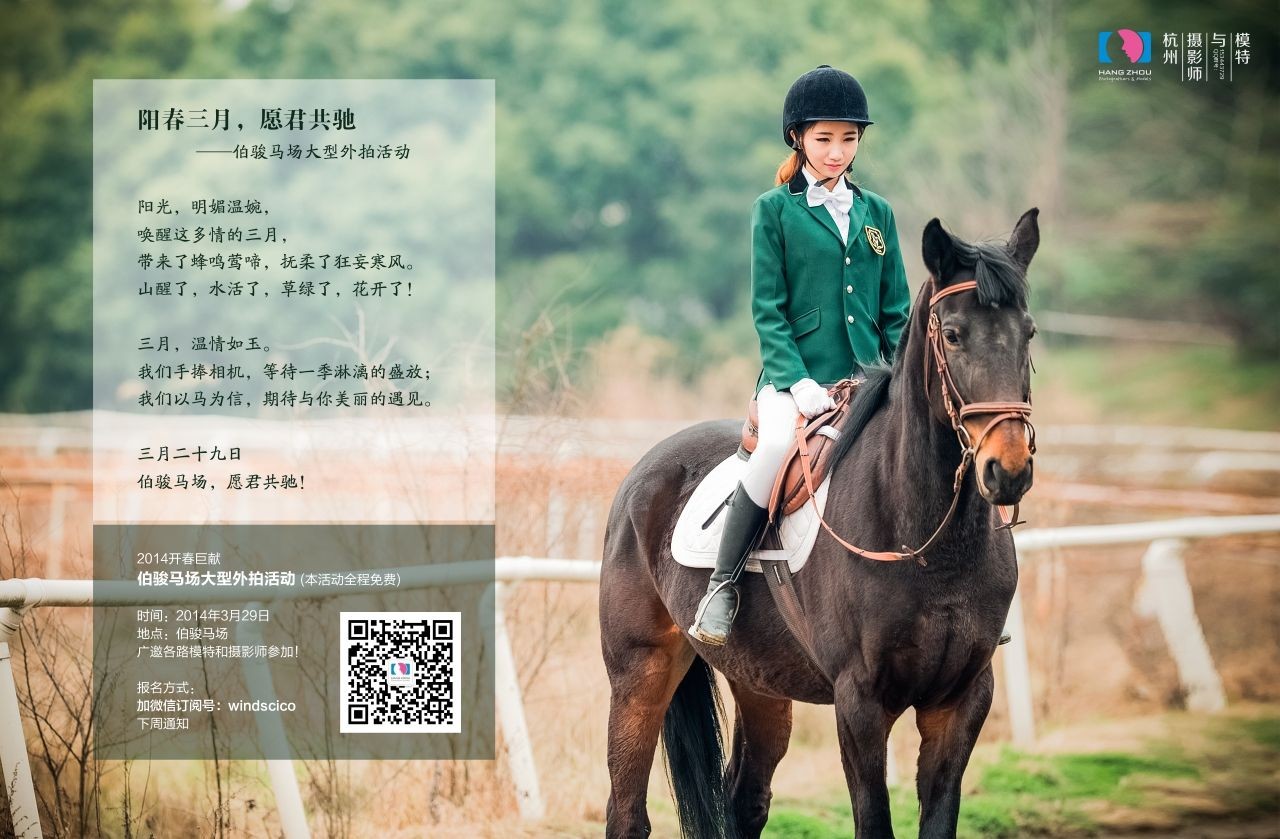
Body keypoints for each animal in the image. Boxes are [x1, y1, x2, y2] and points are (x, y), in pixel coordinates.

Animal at [598, 208, 1040, 839]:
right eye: (953, 334)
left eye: (1028, 333)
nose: (1008, 469)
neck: (927, 540)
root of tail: (644, 468)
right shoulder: (860, 703)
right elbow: (873, 820)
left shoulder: (961, 699)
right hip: (640, 672)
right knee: (626, 810)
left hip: (759, 684)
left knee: (744, 801)